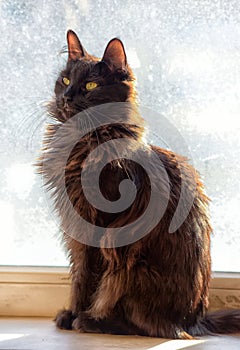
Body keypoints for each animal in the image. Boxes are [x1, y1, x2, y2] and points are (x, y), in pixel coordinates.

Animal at [36, 30, 240, 340]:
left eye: (91, 85)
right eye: (66, 81)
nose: (67, 97)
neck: (84, 140)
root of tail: (193, 319)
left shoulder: (96, 226)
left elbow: (85, 278)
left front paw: (75, 315)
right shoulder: (76, 231)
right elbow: (79, 274)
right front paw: (70, 313)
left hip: (131, 266)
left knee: (149, 326)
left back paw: (93, 321)